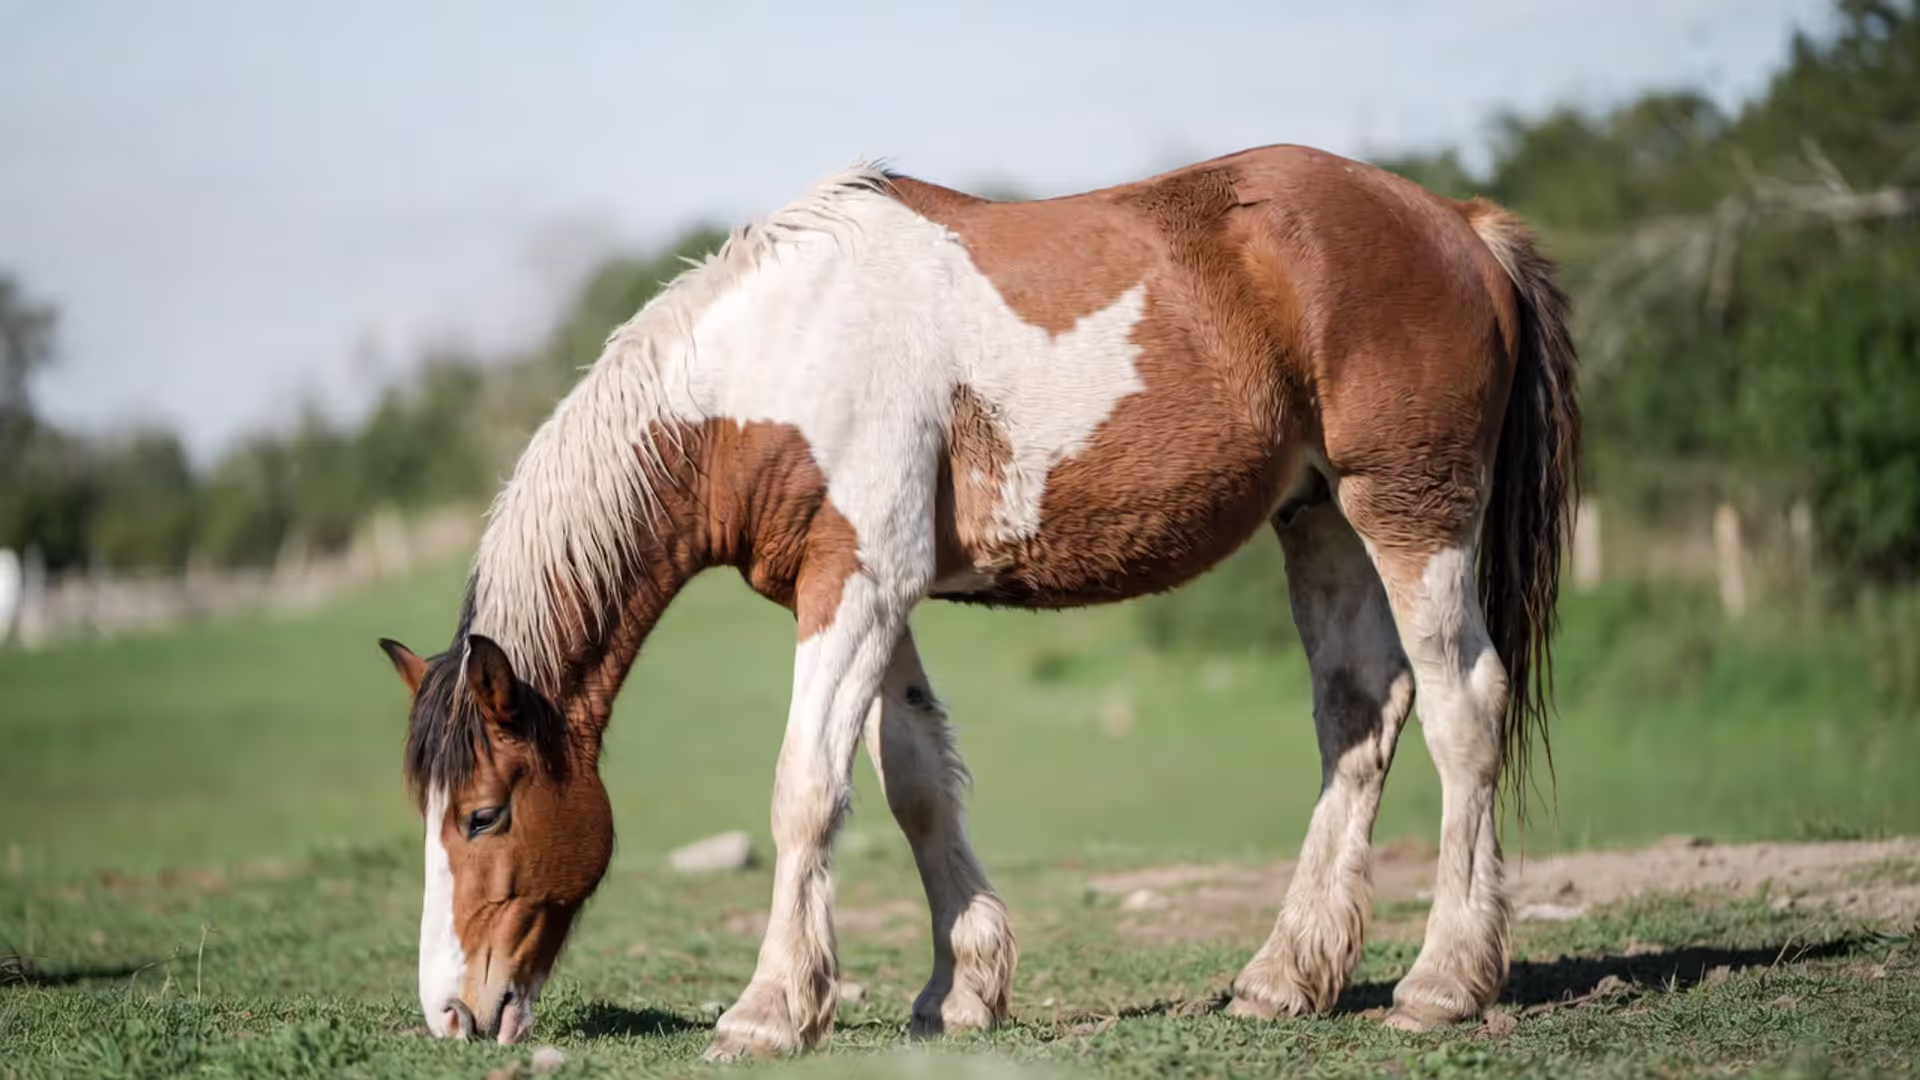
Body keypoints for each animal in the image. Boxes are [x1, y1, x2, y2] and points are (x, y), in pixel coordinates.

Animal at [376, 141, 1580, 1058]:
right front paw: (960, 991)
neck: (775, 365)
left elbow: (804, 790)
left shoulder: (853, 586)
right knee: (1360, 714)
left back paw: (1443, 983)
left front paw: (769, 1012)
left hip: (1412, 512)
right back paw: (1286, 976)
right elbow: (912, 784)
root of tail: (1456, 222)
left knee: (1463, 707)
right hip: (1319, 516)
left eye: (483, 814)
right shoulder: (875, 593)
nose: (452, 1012)